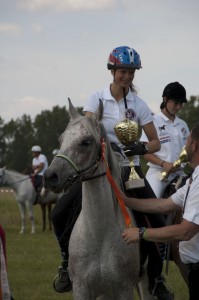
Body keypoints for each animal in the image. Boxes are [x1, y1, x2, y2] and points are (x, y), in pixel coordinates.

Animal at [43, 100, 152, 300]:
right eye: (61, 139)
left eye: (86, 142)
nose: (50, 177)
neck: (98, 233)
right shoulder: (82, 289)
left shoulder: (124, 288)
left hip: (144, 281)